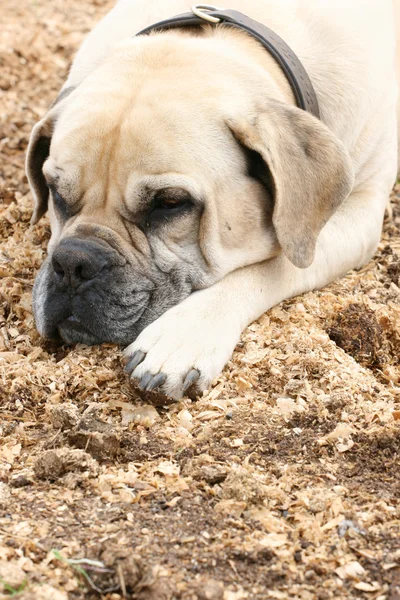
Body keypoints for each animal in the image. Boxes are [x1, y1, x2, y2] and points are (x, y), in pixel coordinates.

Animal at [26, 0, 398, 398]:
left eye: (170, 203)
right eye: (55, 191)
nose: (73, 264)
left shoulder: (360, 214)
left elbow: (276, 264)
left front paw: (182, 334)